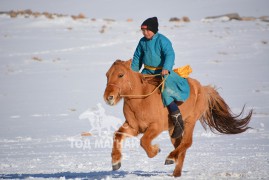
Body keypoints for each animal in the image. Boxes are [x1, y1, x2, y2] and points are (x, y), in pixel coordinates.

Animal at [102, 59, 251, 177]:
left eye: (121, 75)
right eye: (107, 75)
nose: (108, 97)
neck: (141, 100)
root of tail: (202, 88)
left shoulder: (155, 127)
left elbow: (144, 141)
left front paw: (155, 150)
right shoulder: (134, 127)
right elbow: (117, 135)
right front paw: (116, 162)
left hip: (190, 122)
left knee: (187, 143)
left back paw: (171, 158)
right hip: (174, 129)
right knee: (181, 147)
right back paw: (175, 171)